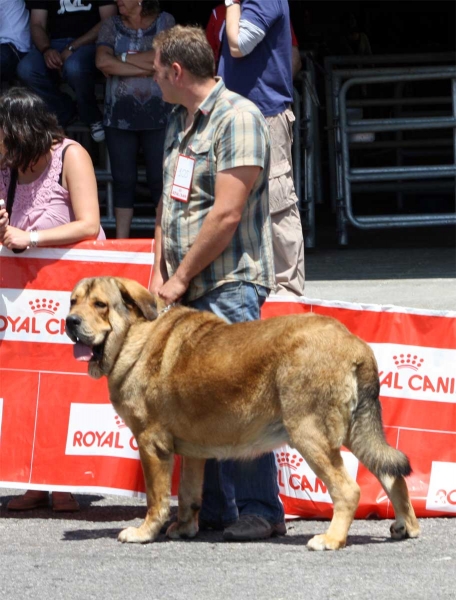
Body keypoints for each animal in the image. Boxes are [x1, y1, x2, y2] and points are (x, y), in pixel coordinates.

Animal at [65, 276, 420, 548]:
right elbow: (188, 494)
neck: (134, 335)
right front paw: (184, 529)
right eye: (73, 302)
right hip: (355, 431)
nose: (70, 321)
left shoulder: (152, 444)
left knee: (348, 490)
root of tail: (354, 343)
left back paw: (331, 539)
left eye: (100, 305)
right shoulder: (192, 452)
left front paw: (144, 533)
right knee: (391, 473)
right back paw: (406, 526)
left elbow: (157, 498)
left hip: (309, 433)